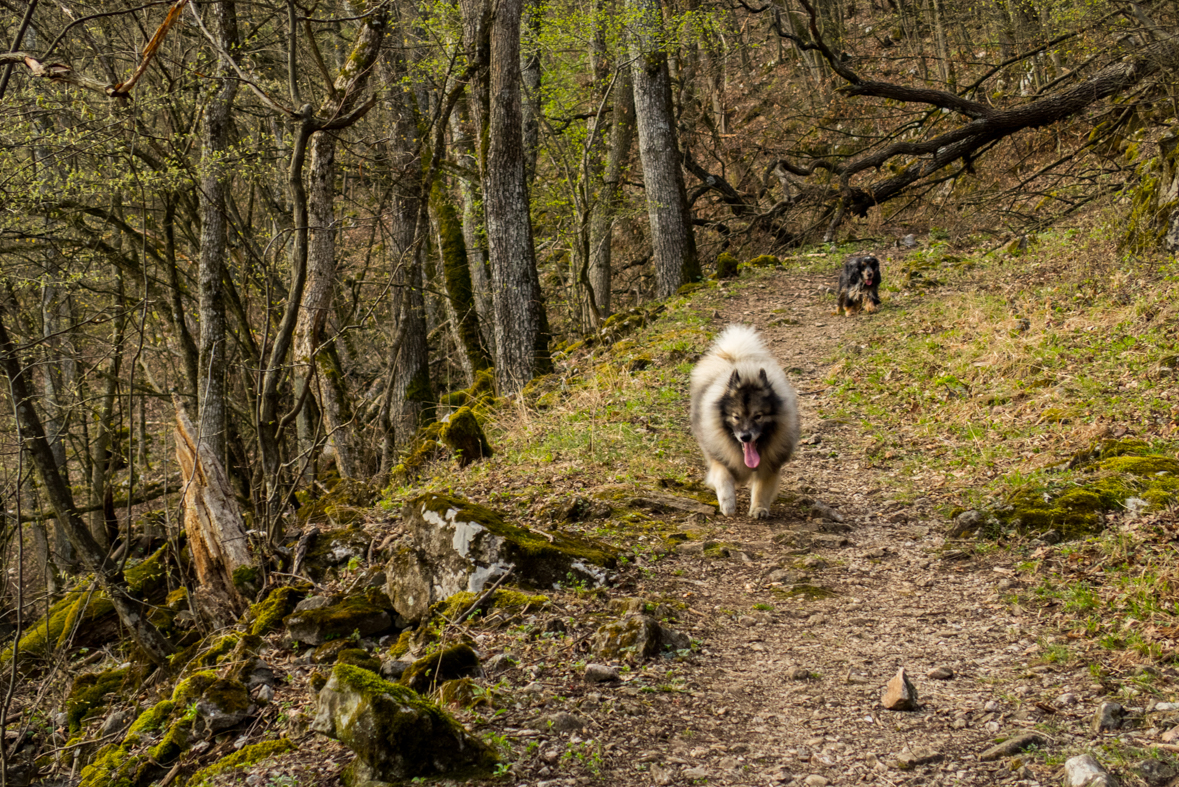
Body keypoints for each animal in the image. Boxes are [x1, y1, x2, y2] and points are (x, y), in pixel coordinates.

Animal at [688, 322, 801, 518]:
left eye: (758, 416)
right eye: (736, 416)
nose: (745, 436)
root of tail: (734, 356)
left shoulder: (769, 464)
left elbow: (762, 488)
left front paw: (759, 508)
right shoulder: (719, 455)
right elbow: (723, 476)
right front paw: (727, 503)